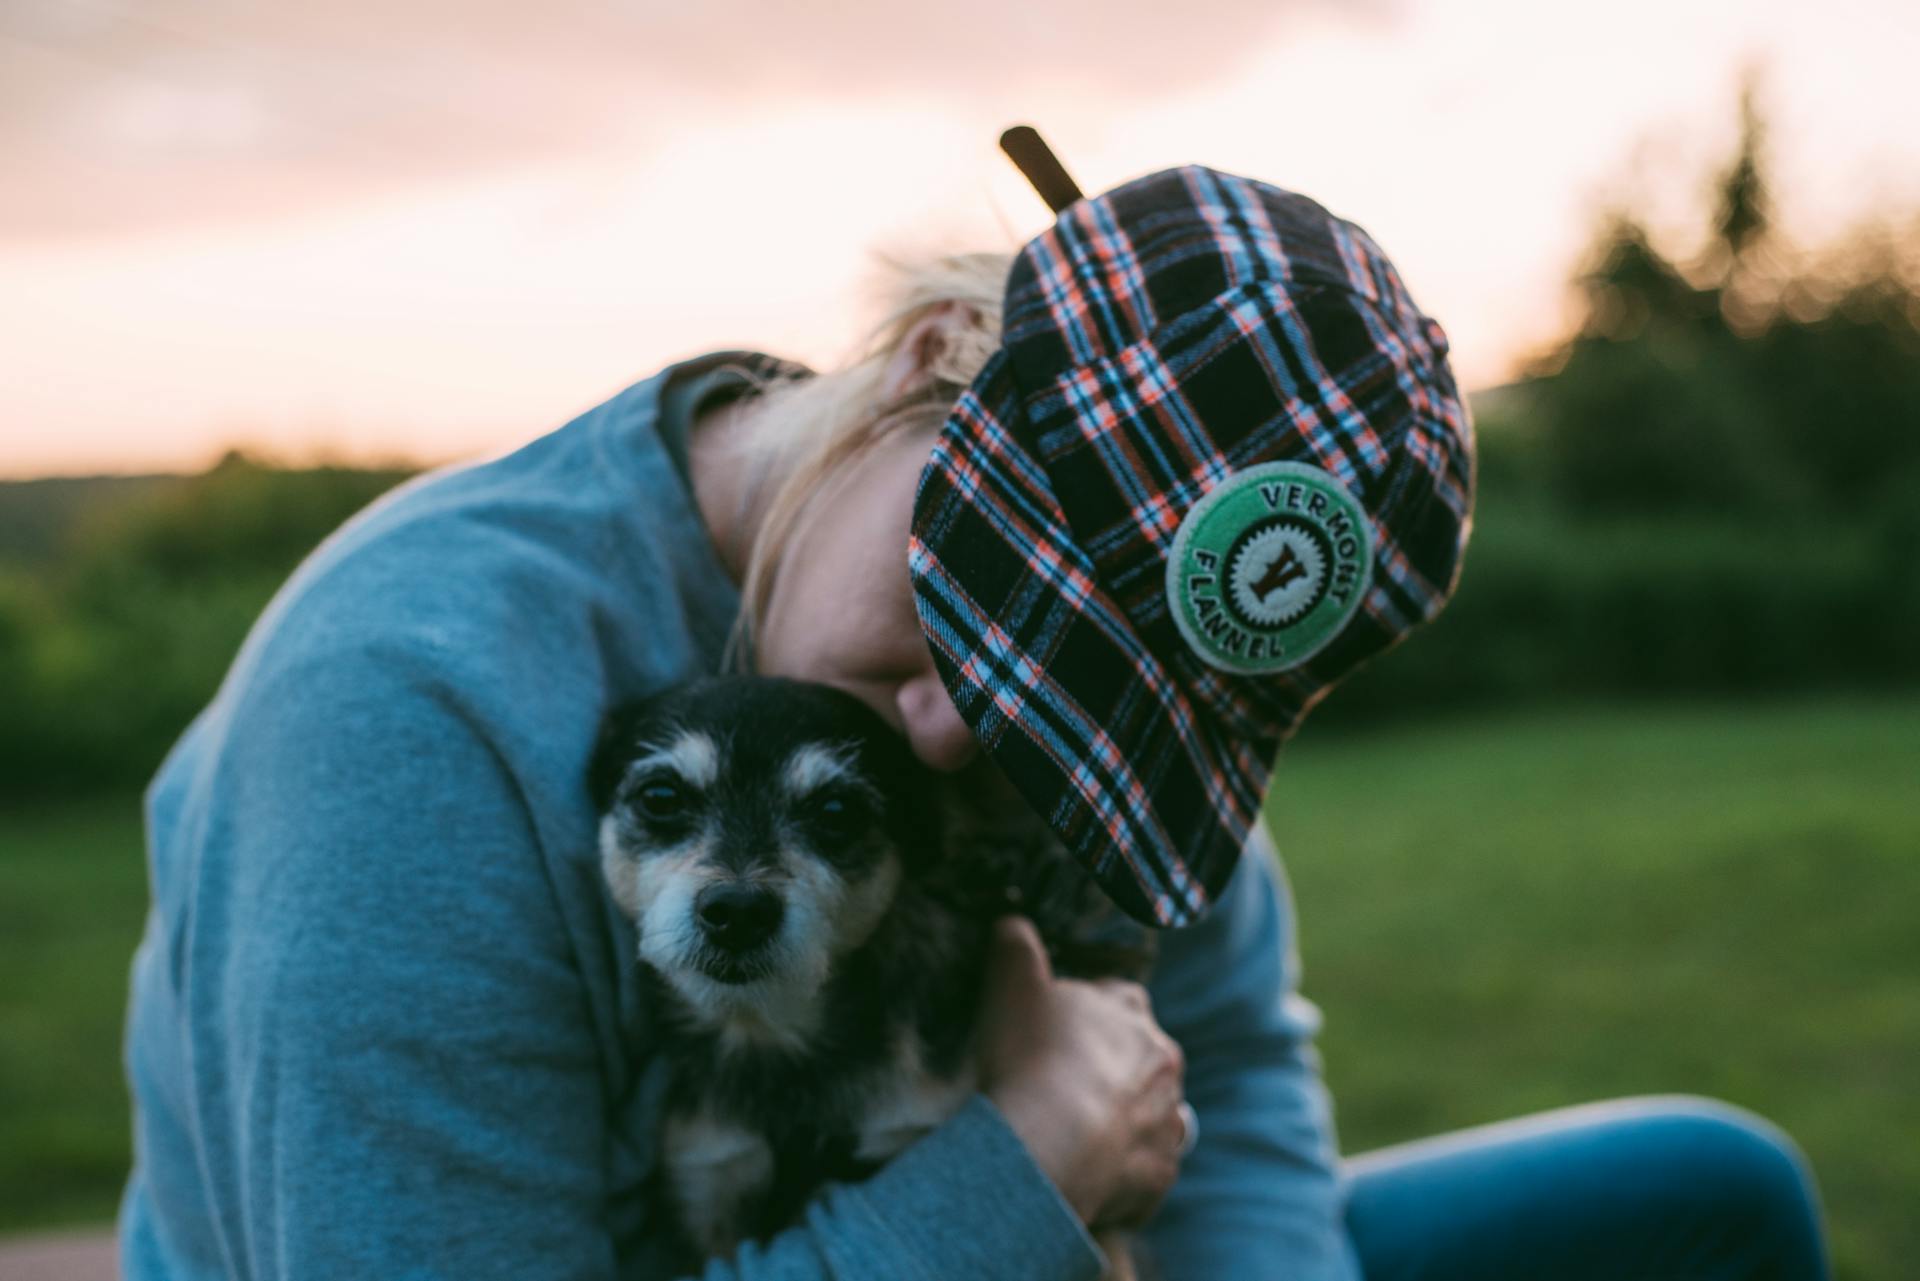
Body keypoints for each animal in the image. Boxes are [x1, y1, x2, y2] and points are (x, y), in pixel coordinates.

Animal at [587, 676, 1152, 1275]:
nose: (739, 911)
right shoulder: (708, 1182)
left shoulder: (910, 1129)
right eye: (661, 798)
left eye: (837, 811)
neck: (780, 1041)